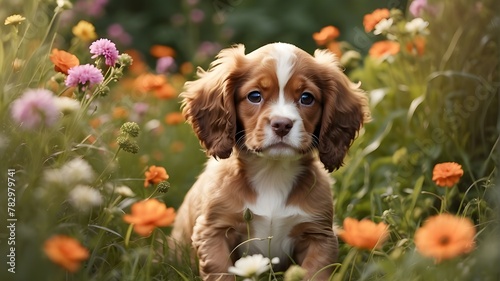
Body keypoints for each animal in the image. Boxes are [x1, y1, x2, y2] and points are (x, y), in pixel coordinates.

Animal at [172, 42, 372, 278]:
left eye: (307, 98)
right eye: (254, 96)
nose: (282, 124)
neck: (271, 172)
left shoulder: (319, 234)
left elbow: (315, 272)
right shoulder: (214, 231)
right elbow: (220, 271)